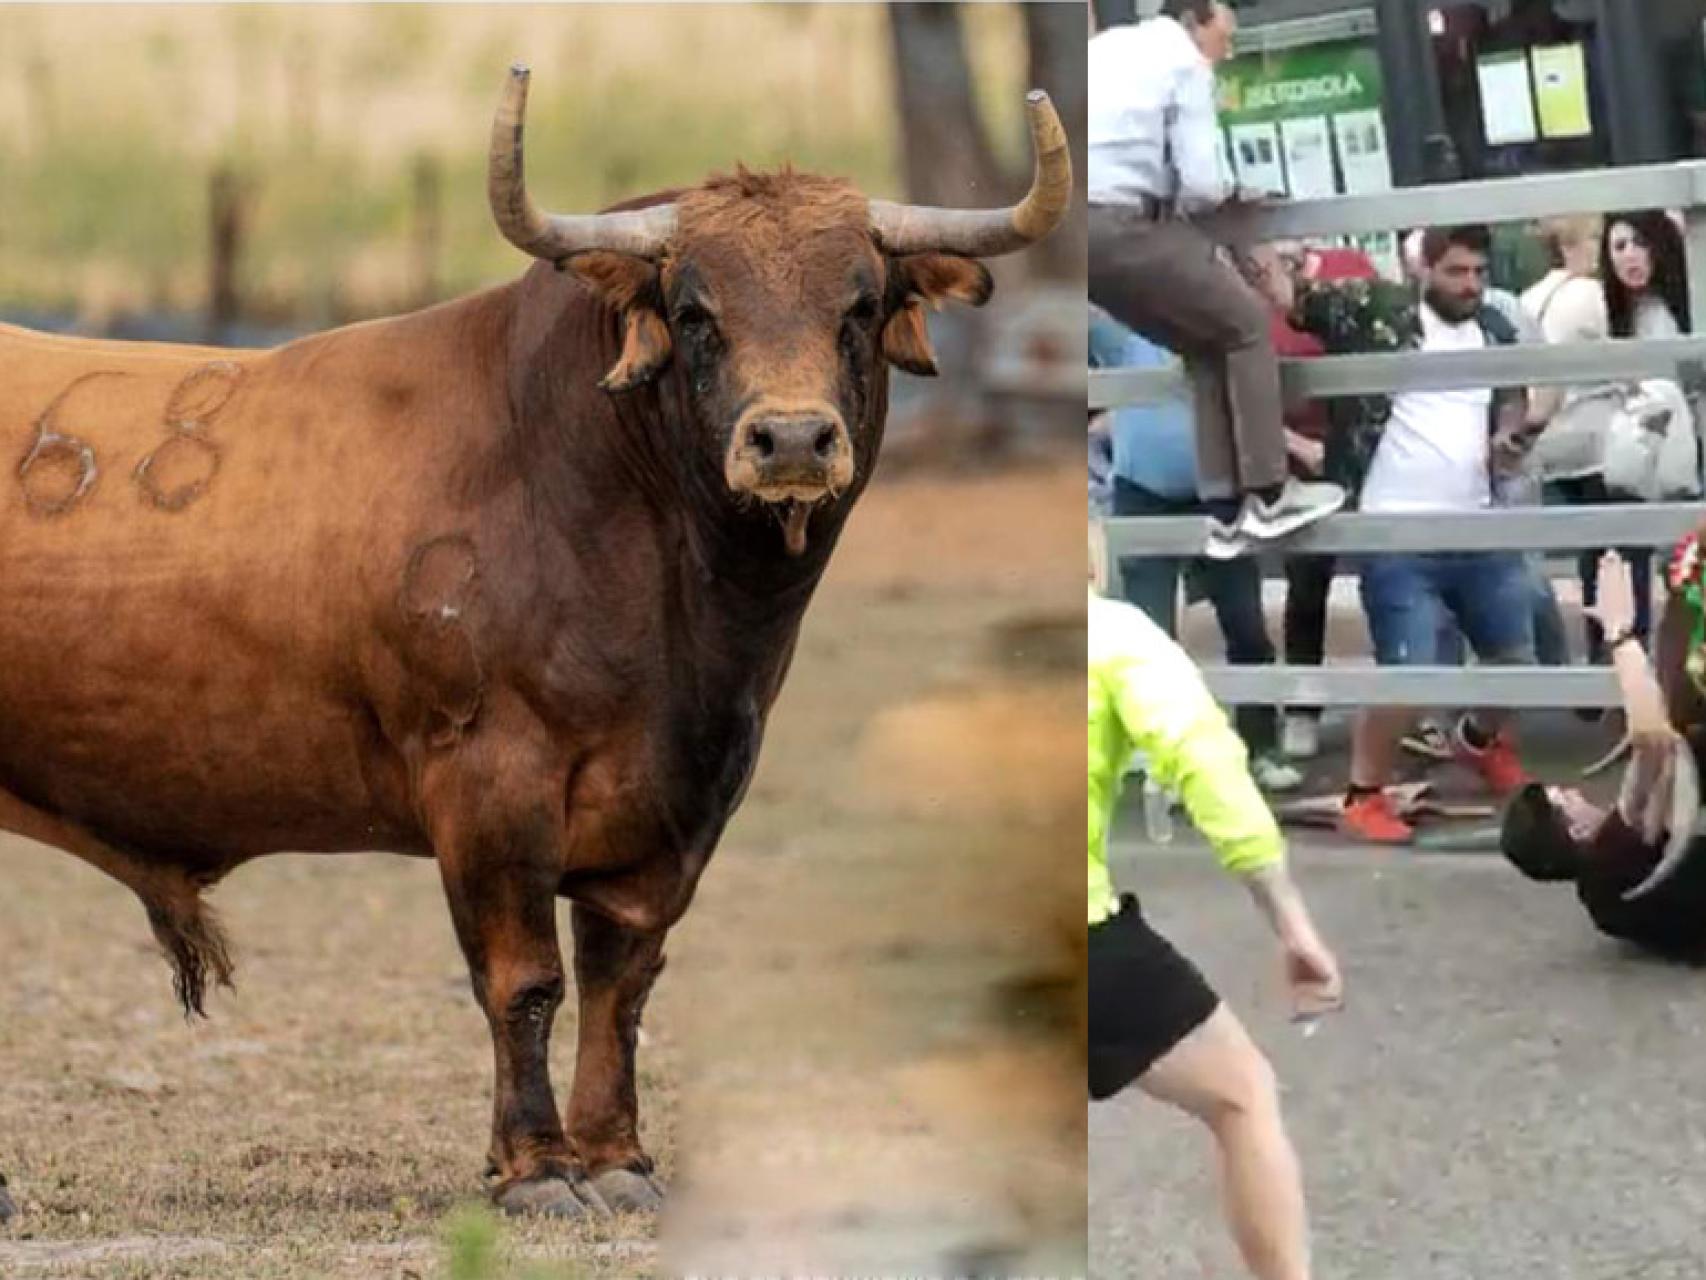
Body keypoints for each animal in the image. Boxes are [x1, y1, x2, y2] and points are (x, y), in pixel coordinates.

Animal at [0, 67, 1064, 1221]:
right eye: (694, 311)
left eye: (859, 304)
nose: (788, 439)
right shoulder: (489, 784)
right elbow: (524, 979)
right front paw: (538, 1166)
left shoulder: (678, 802)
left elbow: (620, 978)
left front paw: (618, 1156)